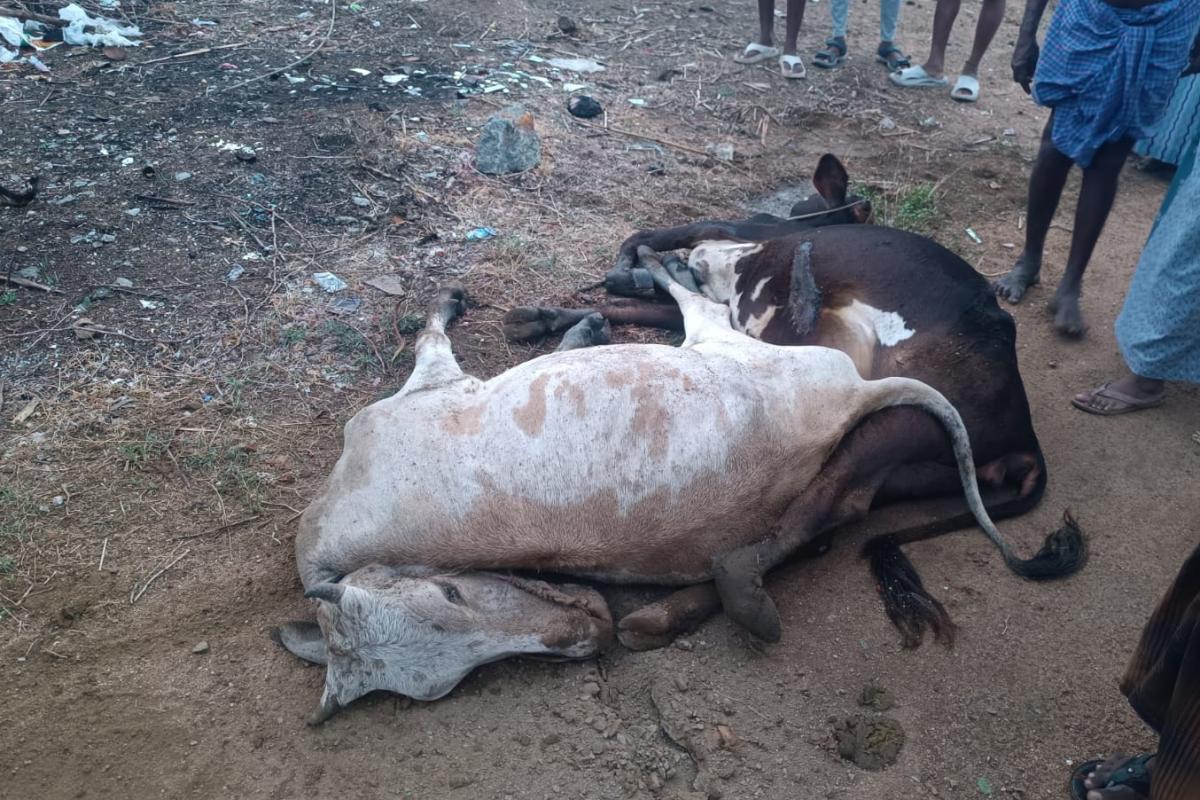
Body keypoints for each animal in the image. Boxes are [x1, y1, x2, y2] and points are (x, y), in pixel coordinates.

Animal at [275, 257, 1083, 724]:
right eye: (450, 683)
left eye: (451, 593)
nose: (587, 637)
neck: (330, 530)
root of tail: (852, 394)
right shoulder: (428, 392)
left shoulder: (431, 386)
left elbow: (434, 331)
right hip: (739, 353)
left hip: (748, 349)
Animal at [503, 155, 1047, 535]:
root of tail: (1024, 433)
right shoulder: (718, 300)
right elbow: (640, 304)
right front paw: (545, 316)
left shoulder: (739, 232)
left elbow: (665, 233)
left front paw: (629, 266)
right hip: (916, 465)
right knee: (843, 501)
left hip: (908, 416)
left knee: (818, 504)